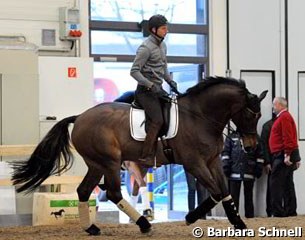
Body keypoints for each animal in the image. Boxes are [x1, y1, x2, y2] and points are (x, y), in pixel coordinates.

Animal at [10, 77, 266, 236]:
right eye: (250, 114)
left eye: (258, 115)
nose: (251, 147)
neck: (200, 116)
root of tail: (80, 117)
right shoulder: (193, 164)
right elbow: (216, 192)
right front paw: (192, 217)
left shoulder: (213, 162)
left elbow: (224, 192)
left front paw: (238, 222)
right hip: (110, 162)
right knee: (113, 192)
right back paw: (143, 224)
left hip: (97, 164)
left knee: (84, 190)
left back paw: (91, 228)